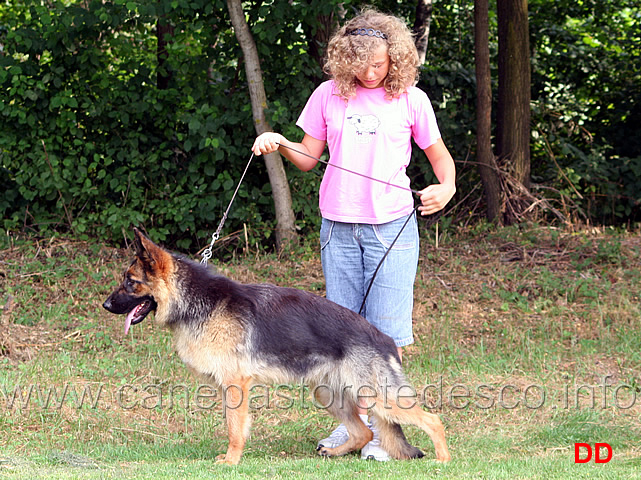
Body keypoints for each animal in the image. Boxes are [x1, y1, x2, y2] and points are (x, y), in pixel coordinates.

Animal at [102, 229, 448, 464]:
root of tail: (383, 338)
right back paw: (335, 452)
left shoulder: (235, 385)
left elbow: (235, 428)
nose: (105, 305)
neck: (196, 302)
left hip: (380, 398)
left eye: (130, 282)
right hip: (328, 394)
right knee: (365, 432)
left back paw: (442, 460)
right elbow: (234, 425)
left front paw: (231, 461)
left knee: (433, 420)